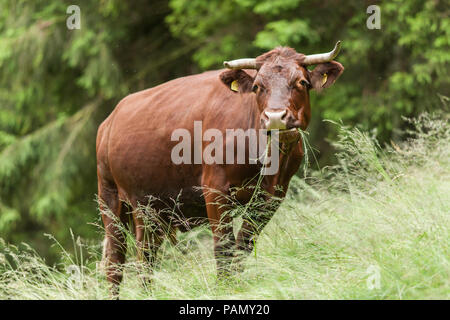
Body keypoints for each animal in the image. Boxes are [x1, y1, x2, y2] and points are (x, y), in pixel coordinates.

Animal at [96, 42, 344, 296]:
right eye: (257, 86)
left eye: (302, 82)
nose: (275, 117)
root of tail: (109, 120)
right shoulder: (214, 189)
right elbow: (223, 246)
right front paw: (224, 287)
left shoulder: (273, 196)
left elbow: (244, 244)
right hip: (113, 198)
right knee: (120, 259)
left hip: (154, 208)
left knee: (147, 256)